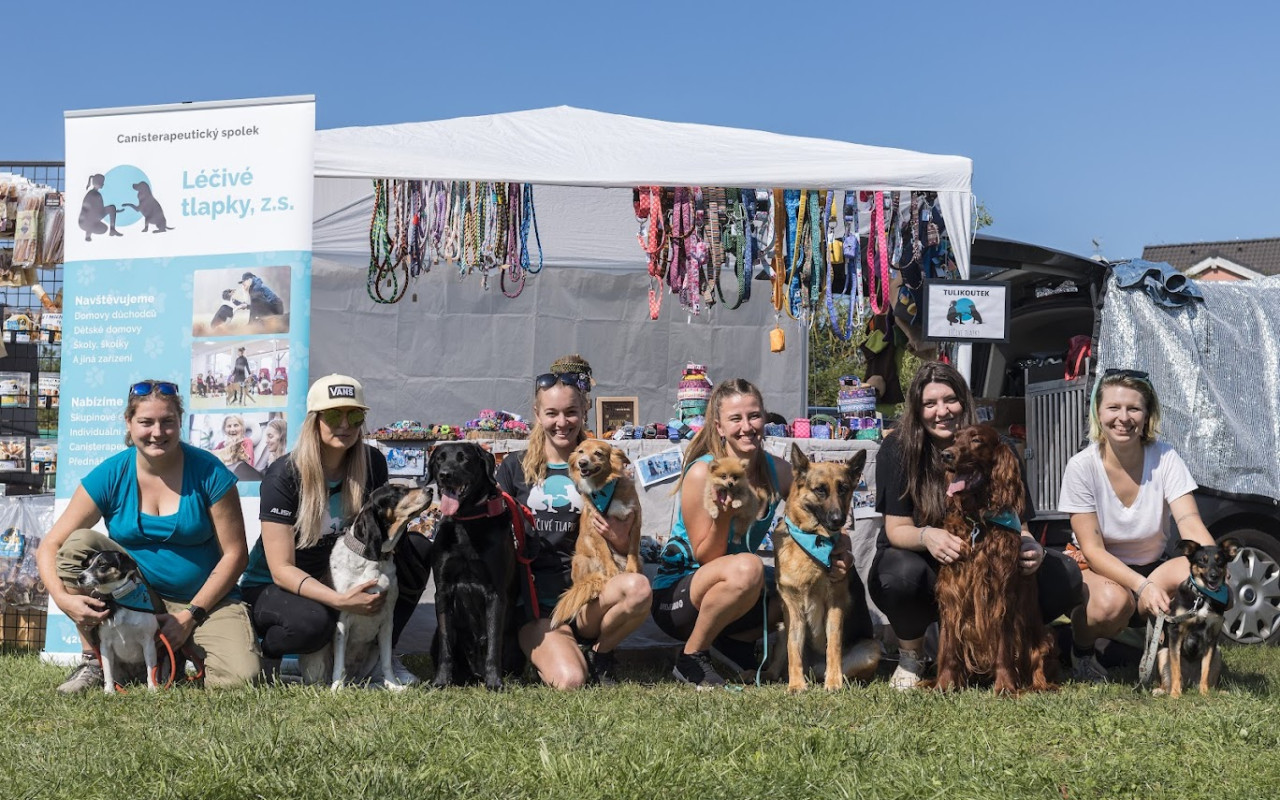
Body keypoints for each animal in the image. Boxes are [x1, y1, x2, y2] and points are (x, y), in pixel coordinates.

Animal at [76, 552, 160, 691]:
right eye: (88, 564)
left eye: (102, 564)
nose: (79, 578)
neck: (119, 600)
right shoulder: (105, 645)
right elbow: (108, 672)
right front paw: (109, 691)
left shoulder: (148, 642)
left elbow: (151, 669)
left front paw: (153, 689)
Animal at [300, 481, 435, 686]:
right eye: (397, 491)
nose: (431, 490)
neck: (374, 560)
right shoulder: (342, 623)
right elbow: (339, 665)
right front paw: (337, 688)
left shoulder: (387, 621)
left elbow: (387, 662)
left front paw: (393, 686)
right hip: (317, 661)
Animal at [547, 440, 645, 627]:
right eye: (580, 452)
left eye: (598, 453)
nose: (582, 463)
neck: (603, 489)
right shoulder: (596, 529)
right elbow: (606, 552)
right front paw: (612, 571)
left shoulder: (635, 521)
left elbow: (633, 549)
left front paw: (631, 568)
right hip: (580, 558)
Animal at [768, 445, 870, 691]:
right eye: (820, 490)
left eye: (843, 489)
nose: (838, 520)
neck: (812, 541)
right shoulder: (793, 608)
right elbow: (793, 649)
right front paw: (796, 685)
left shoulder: (835, 604)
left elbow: (833, 645)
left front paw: (833, 682)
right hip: (781, 629)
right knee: (779, 661)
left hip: (869, 651)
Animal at [1162, 540, 1239, 696]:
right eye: (1202, 561)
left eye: (1220, 561)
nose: (1213, 576)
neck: (1203, 597)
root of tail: (1190, 682)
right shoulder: (1175, 632)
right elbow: (1175, 668)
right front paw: (1175, 694)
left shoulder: (1211, 637)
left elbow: (1206, 669)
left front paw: (1204, 693)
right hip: (1162, 653)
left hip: (1218, 653)